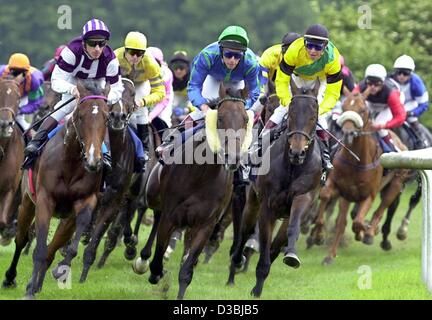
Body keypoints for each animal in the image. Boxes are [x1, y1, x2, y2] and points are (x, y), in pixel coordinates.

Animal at [2, 79, 109, 298]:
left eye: (107, 117)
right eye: (81, 116)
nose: (93, 160)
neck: (70, 163)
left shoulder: (86, 200)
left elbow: (68, 246)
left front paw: (60, 270)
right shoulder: (45, 199)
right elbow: (39, 248)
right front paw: (28, 292)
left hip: (67, 218)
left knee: (53, 247)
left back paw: (38, 282)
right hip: (27, 202)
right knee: (21, 240)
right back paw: (11, 279)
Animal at [133, 84, 251, 298]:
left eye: (246, 120)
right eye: (220, 118)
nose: (233, 158)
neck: (201, 175)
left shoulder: (205, 224)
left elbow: (186, 270)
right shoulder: (171, 216)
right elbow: (157, 259)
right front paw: (155, 271)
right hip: (155, 197)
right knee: (155, 215)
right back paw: (143, 259)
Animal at [314, 90, 408, 264]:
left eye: (363, 109)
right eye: (344, 106)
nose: (348, 133)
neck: (356, 160)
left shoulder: (369, 195)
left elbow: (358, 221)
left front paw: (366, 230)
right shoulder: (341, 189)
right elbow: (327, 200)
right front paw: (321, 240)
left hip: (395, 184)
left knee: (381, 208)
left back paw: (370, 231)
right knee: (346, 219)